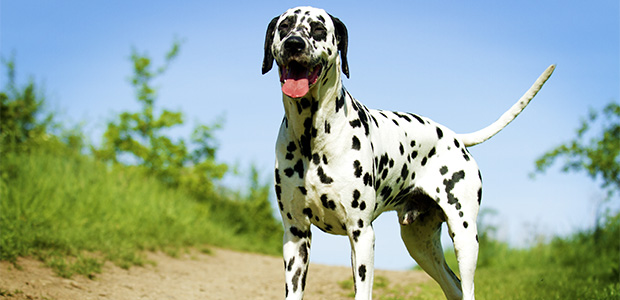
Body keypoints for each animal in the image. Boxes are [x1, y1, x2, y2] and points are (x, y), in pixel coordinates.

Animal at [262, 5, 552, 300]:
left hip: (465, 237)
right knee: (453, 286)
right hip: (421, 246)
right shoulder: (296, 235)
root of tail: (456, 138)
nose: (294, 43)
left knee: (468, 287)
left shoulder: (361, 234)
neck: (312, 136)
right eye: (285, 26)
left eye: (319, 29)